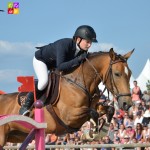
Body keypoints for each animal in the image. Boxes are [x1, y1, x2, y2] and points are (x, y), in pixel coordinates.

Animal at [0, 48, 133, 148]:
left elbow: (109, 109)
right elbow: (93, 113)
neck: (80, 83)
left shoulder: (92, 107)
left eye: (130, 74)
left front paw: (99, 132)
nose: (127, 104)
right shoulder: (69, 116)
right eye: (117, 74)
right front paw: (91, 134)